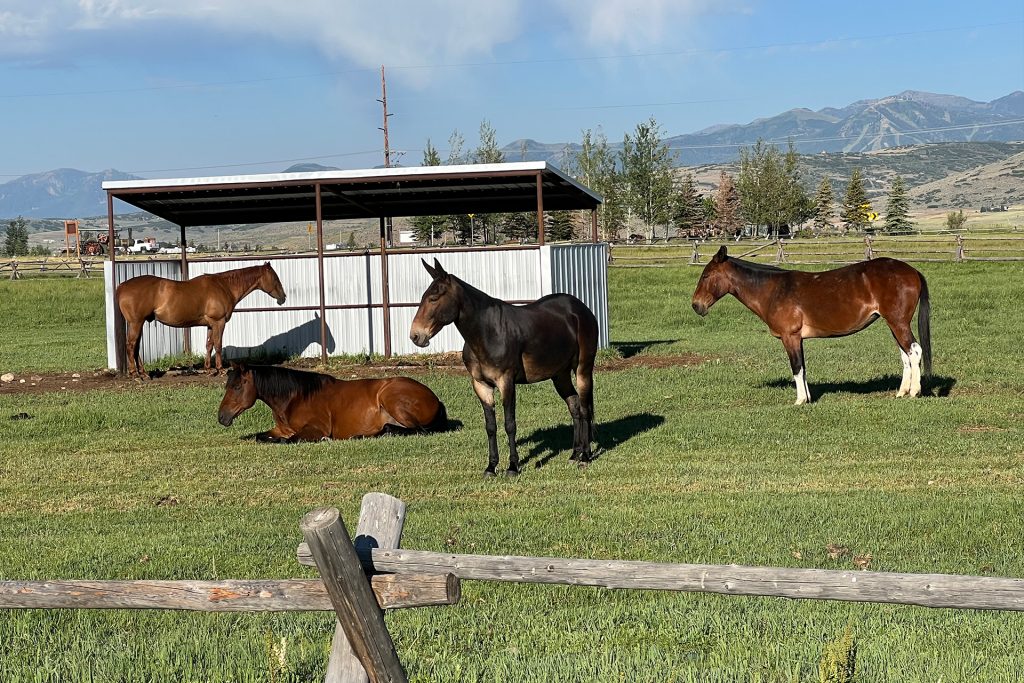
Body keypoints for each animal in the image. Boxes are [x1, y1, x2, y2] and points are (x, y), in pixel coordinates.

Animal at [117, 262, 286, 378]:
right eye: (275, 278)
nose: (283, 298)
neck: (224, 286)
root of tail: (122, 286)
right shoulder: (219, 322)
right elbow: (218, 345)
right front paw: (220, 369)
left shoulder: (210, 324)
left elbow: (209, 345)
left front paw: (208, 369)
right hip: (136, 323)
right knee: (131, 345)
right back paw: (135, 374)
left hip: (138, 323)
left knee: (136, 347)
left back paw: (143, 373)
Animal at [218, 362, 446, 444]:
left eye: (236, 387)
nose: (222, 417)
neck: (296, 397)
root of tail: (436, 399)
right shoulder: (281, 429)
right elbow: (260, 437)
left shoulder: (314, 428)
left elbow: (288, 440)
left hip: (392, 400)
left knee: (415, 431)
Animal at [409, 259, 598, 479]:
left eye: (434, 298)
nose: (415, 336)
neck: (488, 333)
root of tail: (580, 309)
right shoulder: (481, 385)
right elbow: (491, 426)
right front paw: (491, 467)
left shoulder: (506, 382)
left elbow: (510, 424)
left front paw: (513, 467)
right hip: (560, 375)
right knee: (574, 406)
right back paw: (574, 454)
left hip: (583, 369)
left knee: (584, 409)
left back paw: (585, 456)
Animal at [692, 246, 933, 403]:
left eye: (706, 276)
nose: (696, 305)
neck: (774, 290)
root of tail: (913, 271)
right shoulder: (798, 339)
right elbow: (804, 368)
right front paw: (807, 397)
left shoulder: (790, 337)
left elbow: (797, 367)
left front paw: (800, 401)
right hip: (894, 324)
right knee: (905, 356)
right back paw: (901, 392)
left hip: (898, 323)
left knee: (915, 351)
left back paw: (915, 391)